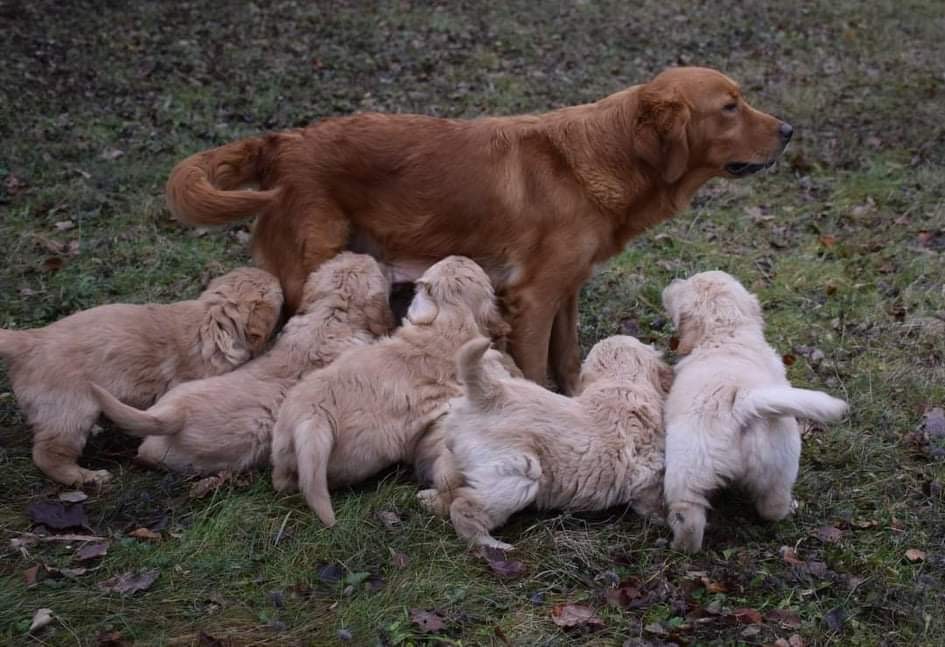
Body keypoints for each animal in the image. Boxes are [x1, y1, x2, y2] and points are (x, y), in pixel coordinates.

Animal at [416, 334, 668, 552]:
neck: (622, 381)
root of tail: (488, 394)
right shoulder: (645, 474)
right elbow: (652, 497)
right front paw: (662, 518)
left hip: (455, 458)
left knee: (449, 490)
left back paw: (428, 500)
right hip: (517, 475)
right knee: (464, 508)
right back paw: (495, 547)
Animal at [656, 270, 848, 556]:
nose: (672, 283)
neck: (727, 334)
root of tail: (742, 403)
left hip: (687, 470)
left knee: (689, 520)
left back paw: (680, 548)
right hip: (781, 464)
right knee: (773, 507)